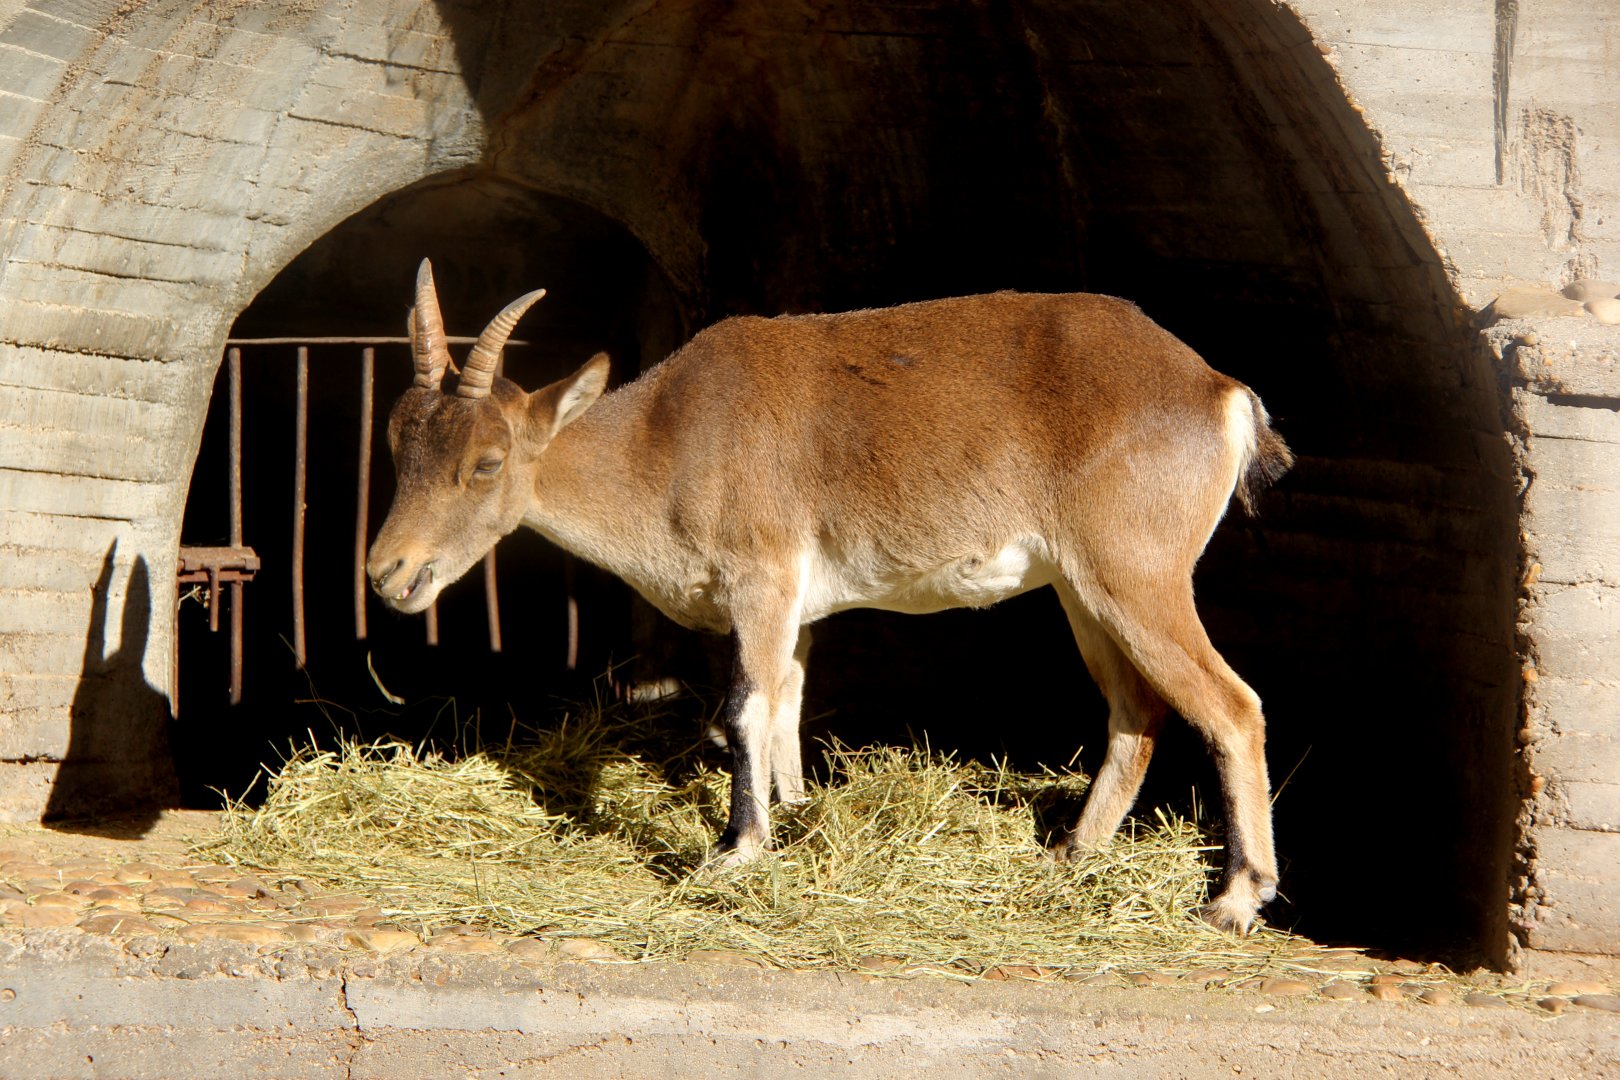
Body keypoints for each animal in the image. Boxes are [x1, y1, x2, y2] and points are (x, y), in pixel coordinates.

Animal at [367, 259, 1292, 931]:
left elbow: (744, 708)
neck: (668, 438)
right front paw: (801, 821)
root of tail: (1218, 391)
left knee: (1231, 705)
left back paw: (1232, 899)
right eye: (396, 441)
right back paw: (1069, 855)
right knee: (1137, 710)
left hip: (1135, 576)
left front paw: (736, 851)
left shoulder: (760, 578)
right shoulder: (794, 611)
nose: (388, 573)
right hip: (1083, 590)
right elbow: (786, 703)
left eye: (486, 462)